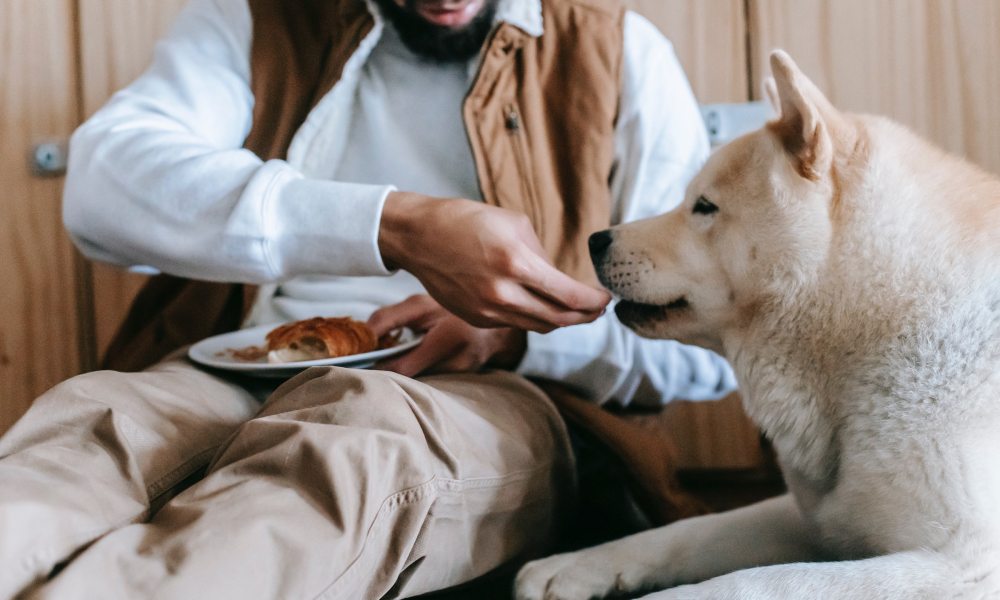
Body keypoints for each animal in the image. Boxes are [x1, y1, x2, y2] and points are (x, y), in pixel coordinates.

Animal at [516, 50, 1000, 600]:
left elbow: (751, 583)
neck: (886, 313)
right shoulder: (816, 519)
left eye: (704, 206)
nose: (596, 241)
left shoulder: (965, 565)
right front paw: (573, 563)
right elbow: (689, 531)